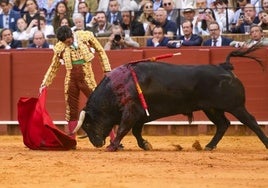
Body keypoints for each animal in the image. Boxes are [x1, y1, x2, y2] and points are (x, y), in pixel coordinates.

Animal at [74, 47, 268, 151]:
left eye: (88, 124)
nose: (96, 143)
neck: (117, 87)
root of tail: (225, 67)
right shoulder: (140, 115)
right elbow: (136, 131)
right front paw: (145, 145)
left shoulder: (132, 111)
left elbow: (123, 128)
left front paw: (112, 146)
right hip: (211, 108)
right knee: (223, 124)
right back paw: (208, 146)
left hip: (236, 106)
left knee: (251, 122)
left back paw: (265, 144)